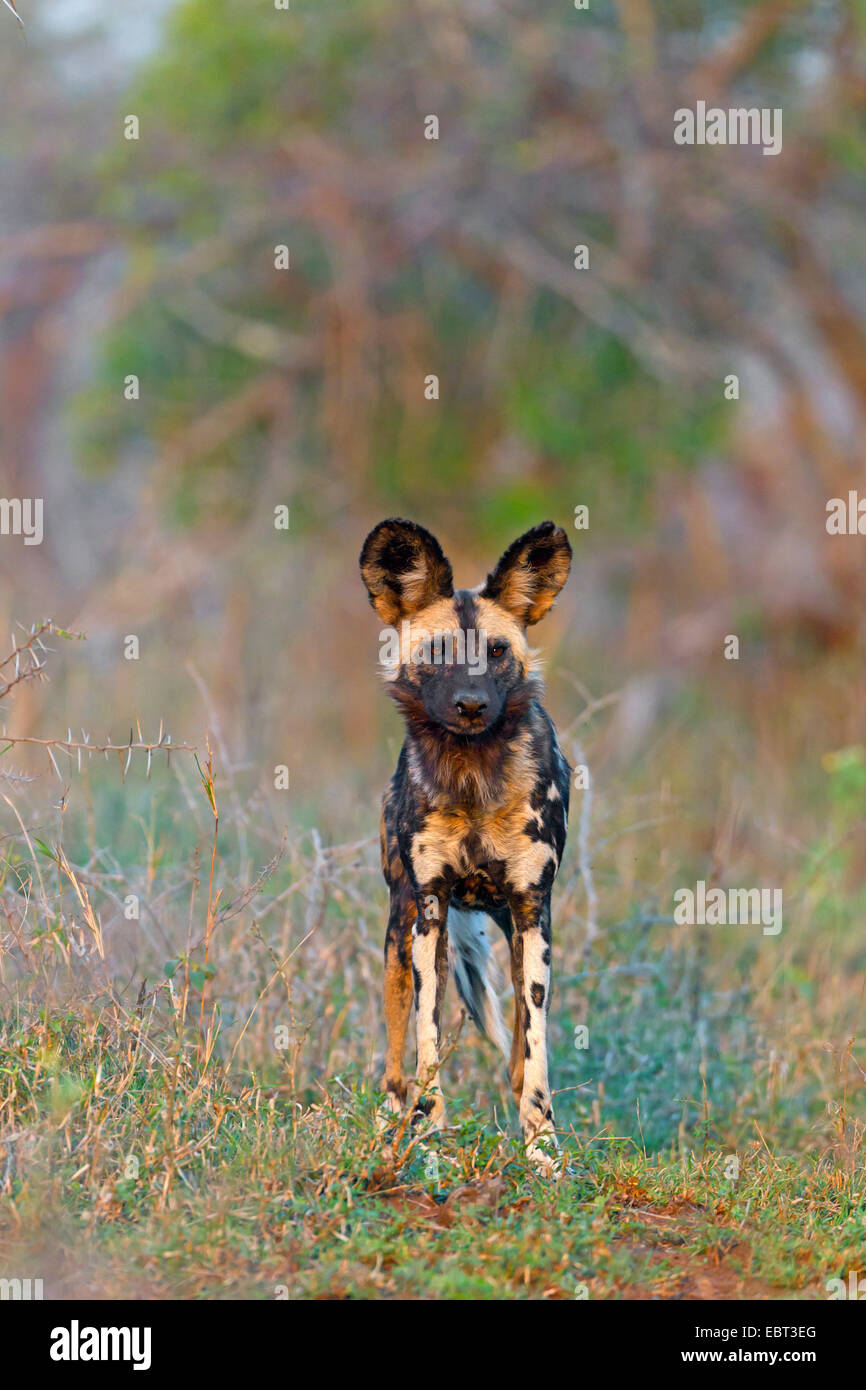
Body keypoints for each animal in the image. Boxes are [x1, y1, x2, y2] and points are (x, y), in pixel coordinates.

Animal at [361, 517, 575, 1167]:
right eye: (437, 653)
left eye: (497, 652)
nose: (472, 705)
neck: (473, 774)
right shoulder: (428, 913)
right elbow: (427, 1043)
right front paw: (430, 1138)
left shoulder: (532, 912)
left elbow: (535, 1052)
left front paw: (543, 1150)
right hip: (397, 934)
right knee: (396, 1058)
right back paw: (389, 1128)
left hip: (512, 935)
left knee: (519, 1050)